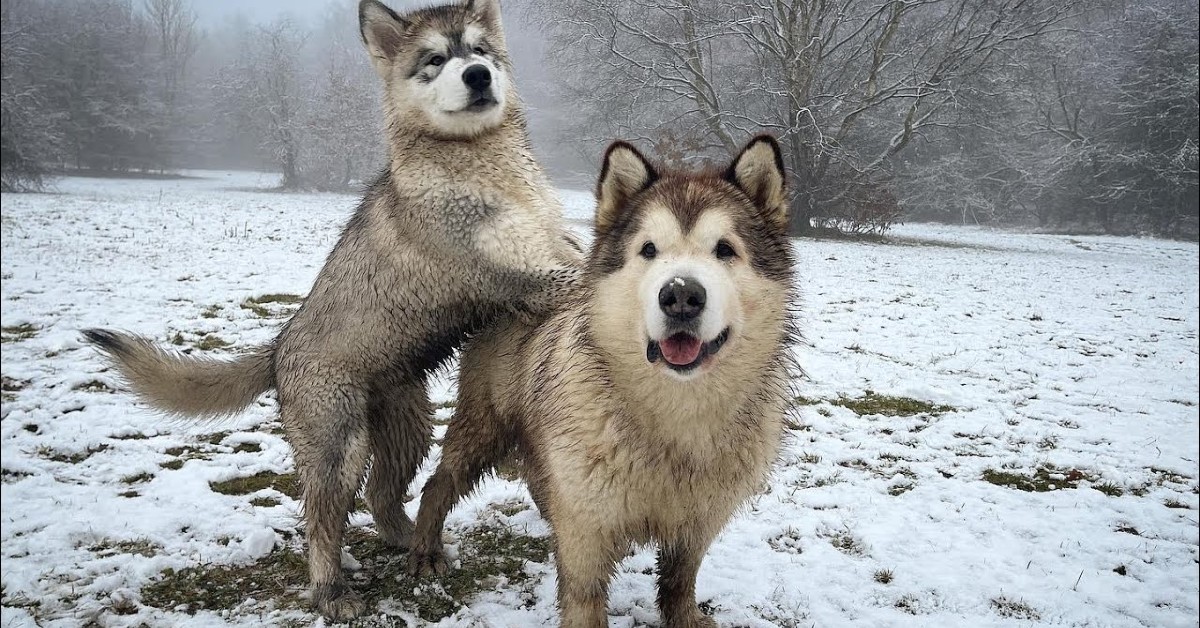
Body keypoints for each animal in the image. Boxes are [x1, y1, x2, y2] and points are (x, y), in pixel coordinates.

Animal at [82, 0, 578, 619]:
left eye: (481, 50)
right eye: (435, 59)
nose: (478, 77)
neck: (483, 166)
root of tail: (278, 350)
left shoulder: (554, 251)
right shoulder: (523, 276)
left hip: (407, 427)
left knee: (381, 495)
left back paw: (411, 539)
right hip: (339, 443)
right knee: (322, 520)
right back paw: (331, 591)